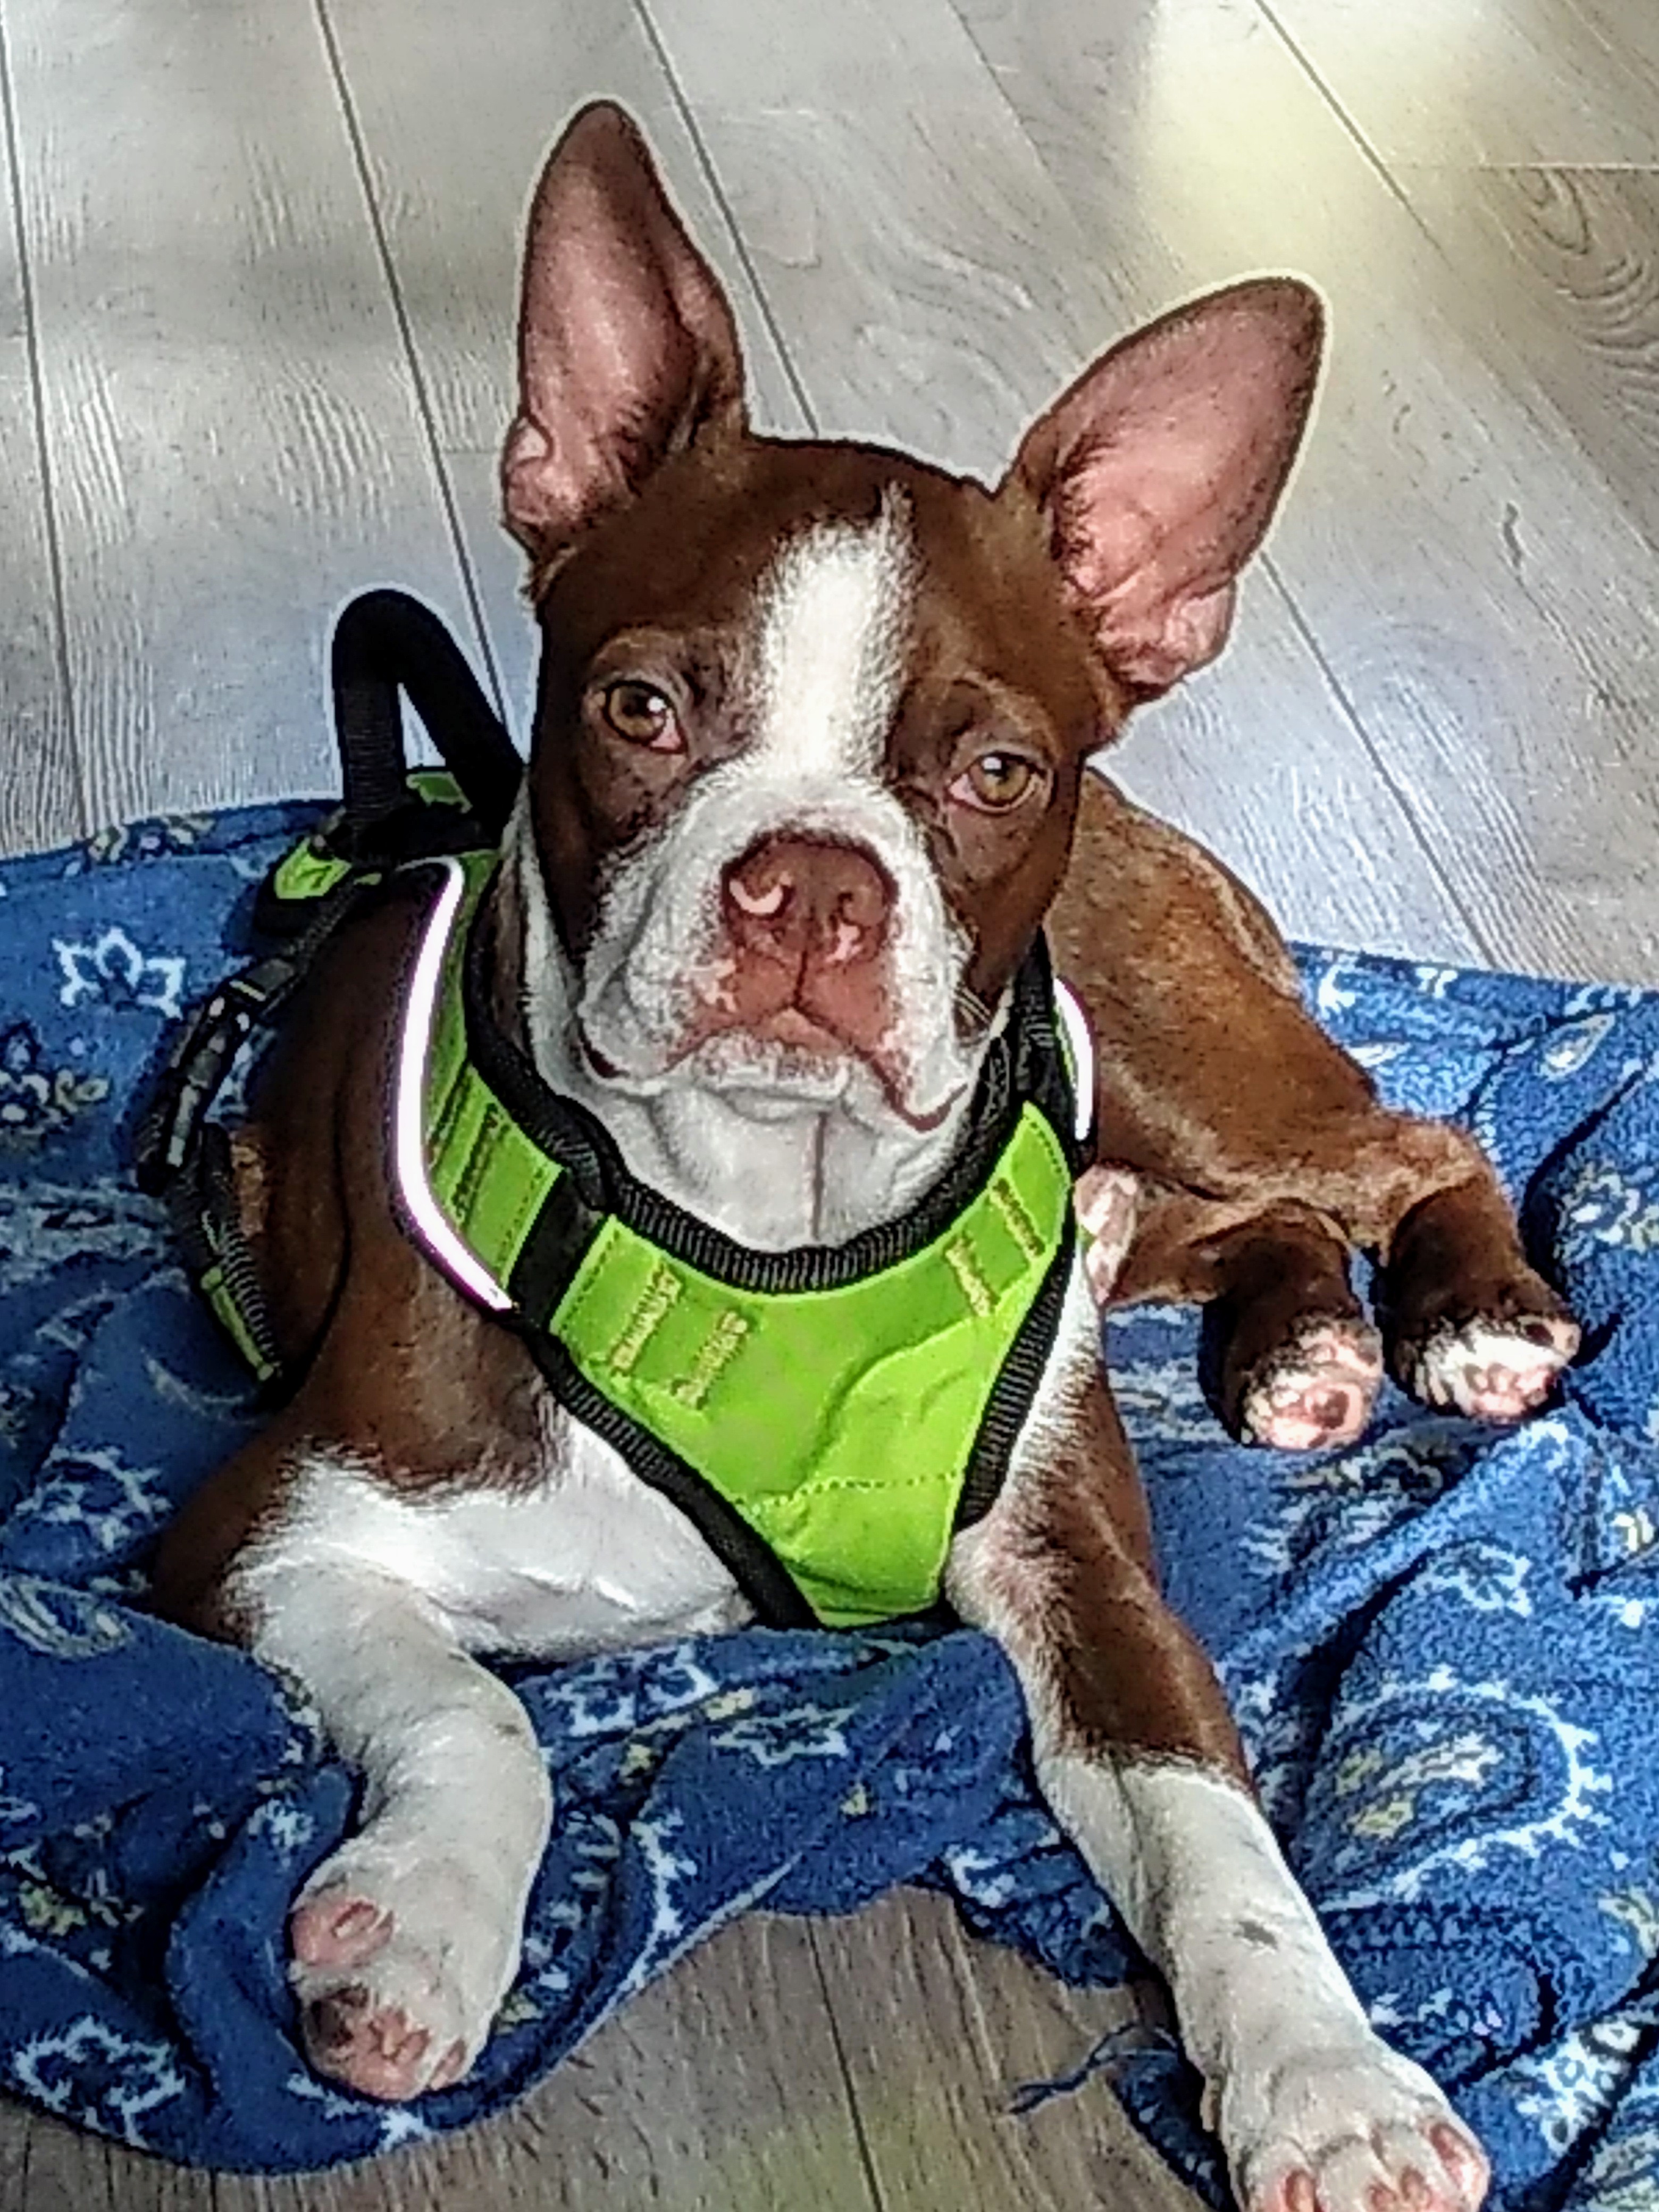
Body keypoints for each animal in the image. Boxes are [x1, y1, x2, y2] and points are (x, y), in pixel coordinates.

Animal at [151, 101, 1579, 2212]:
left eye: (991, 773)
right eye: (639, 708)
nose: (812, 879)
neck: (766, 1230)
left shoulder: (1090, 1586)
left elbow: (1218, 1839)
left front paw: (1332, 2084)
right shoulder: (265, 1534)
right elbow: (478, 1710)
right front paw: (412, 1931)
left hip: (1157, 1046)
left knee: (1398, 1136)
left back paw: (1465, 1318)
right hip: (1126, 1137)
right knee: (1241, 1216)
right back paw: (1302, 1352)